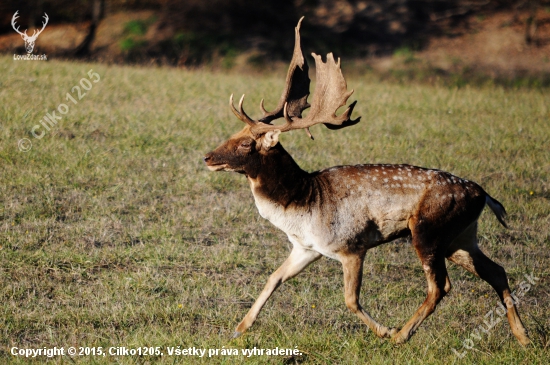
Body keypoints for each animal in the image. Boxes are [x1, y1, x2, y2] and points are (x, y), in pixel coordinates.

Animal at [205, 17, 532, 344]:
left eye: (246, 144)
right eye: (235, 134)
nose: (208, 157)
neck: (303, 204)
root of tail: (483, 194)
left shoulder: (351, 246)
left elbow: (350, 299)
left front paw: (385, 330)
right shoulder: (306, 248)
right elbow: (273, 278)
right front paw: (239, 328)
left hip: (428, 230)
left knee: (440, 286)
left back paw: (402, 335)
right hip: (460, 237)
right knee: (496, 270)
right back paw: (524, 337)